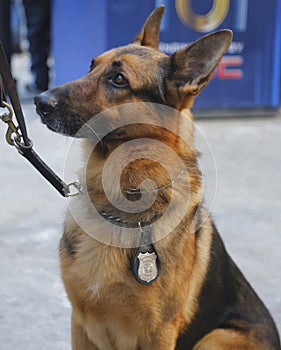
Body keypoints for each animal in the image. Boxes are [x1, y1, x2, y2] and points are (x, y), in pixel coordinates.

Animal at [34, 5, 278, 350]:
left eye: (118, 79)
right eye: (91, 66)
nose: (39, 102)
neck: (122, 207)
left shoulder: (158, 333)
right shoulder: (80, 324)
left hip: (215, 337)